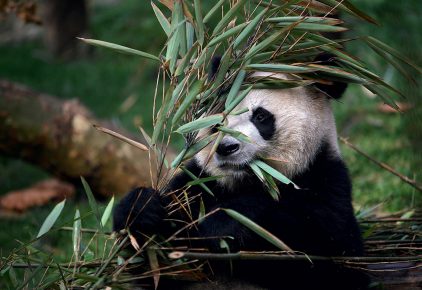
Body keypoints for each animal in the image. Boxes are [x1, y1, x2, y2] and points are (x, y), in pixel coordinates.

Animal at [113, 55, 368, 290]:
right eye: (219, 117)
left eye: (261, 116)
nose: (226, 147)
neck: (244, 182)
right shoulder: (197, 184)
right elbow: (151, 267)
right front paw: (141, 209)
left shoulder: (325, 181)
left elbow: (332, 256)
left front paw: (225, 224)